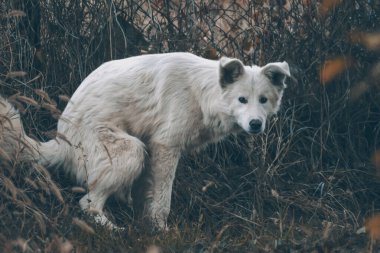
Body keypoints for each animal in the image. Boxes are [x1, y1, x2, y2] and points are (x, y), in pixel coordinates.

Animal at [0, 52, 290, 230]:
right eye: (242, 99)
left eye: (263, 100)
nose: (256, 124)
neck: (201, 94)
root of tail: (60, 141)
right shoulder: (166, 146)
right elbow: (162, 200)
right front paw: (160, 230)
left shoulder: (157, 149)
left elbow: (148, 195)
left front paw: (144, 218)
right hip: (131, 152)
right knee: (88, 204)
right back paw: (113, 228)